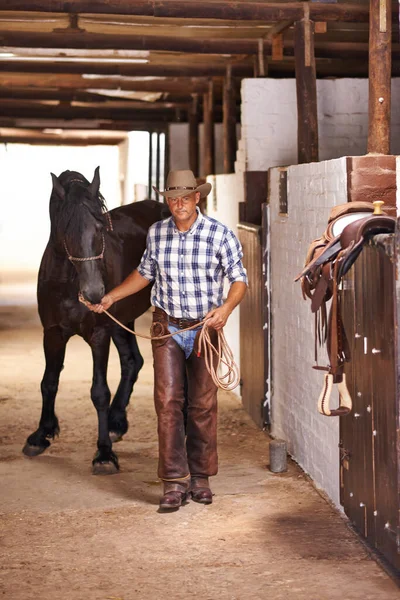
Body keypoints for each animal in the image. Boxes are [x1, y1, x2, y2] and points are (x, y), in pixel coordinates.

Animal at [22, 168, 166, 474]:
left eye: (100, 228)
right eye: (65, 230)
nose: (94, 293)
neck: (69, 282)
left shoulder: (99, 334)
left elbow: (99, 391)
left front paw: (104, 454)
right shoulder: (53, 333)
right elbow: (49, 382)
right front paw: (41, 435)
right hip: (122, 320)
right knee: (132, 361)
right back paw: (116, 422)